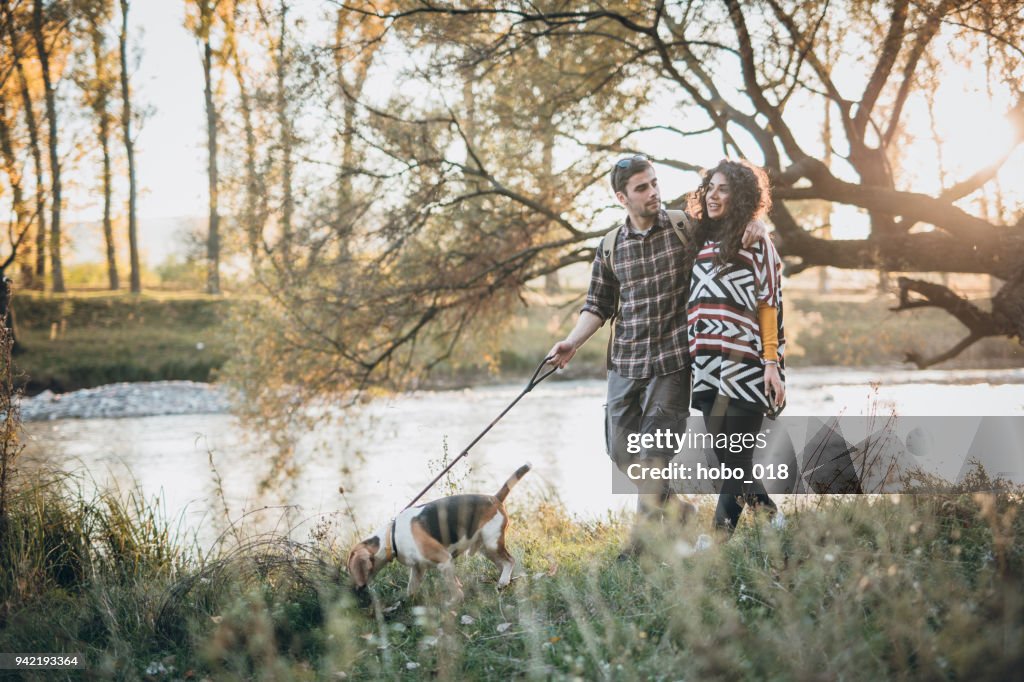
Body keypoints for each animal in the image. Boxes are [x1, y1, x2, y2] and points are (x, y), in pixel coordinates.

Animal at [348, 462, 532, 602]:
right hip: (485, 548)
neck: (391, 538)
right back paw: (504, 581)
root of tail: (494, 498)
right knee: (503, 564)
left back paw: (503, 581)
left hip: (491, 543)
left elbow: (454, 588)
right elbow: (411, 589)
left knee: (510, 561)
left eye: (350, 570)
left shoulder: (444, 560)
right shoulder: (418, 568)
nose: (355, 591)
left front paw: (454, 602)